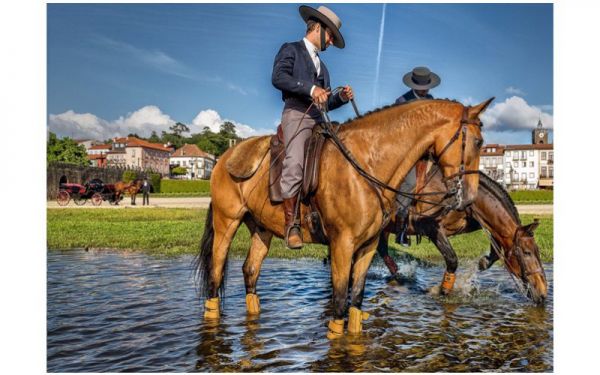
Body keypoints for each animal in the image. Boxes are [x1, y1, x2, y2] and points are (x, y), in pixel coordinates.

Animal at [196, 98, 492, 340]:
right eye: (478, 142)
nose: (468, 198)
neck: (366, 163)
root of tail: (225, 157)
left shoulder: (368, 246)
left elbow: (356, 303)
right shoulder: (342, 245)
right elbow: (339, 304)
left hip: (261, 228)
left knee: (250, 271)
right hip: (226, 223)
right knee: (215, 274)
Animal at [382, 170, 548, 306]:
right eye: (527, 253)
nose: (543, 293)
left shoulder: (480, 221)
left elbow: (495, 247)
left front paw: (483, 262)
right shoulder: (431, 228)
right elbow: (452, 260)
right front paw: (442, 291)